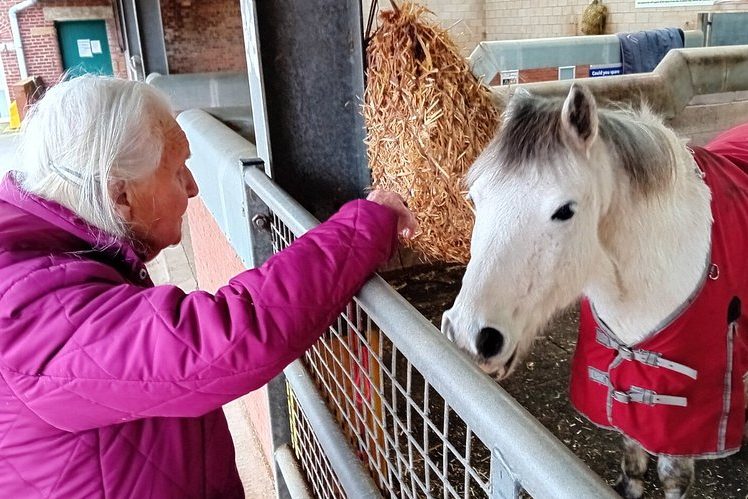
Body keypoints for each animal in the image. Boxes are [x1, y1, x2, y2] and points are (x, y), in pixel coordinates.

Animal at [441, 83, 748, 498]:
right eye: (475, 198)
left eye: (565, 210)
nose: (469, 335)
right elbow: (632, 453)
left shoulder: (683, 419)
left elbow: (672, 477)